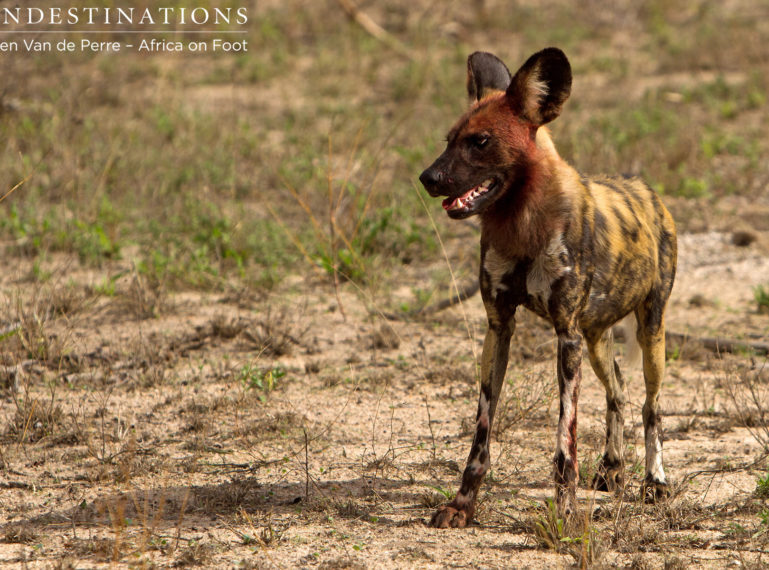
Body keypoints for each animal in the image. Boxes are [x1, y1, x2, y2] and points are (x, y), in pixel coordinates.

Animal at [416, 46, 676, 524]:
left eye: (480, 141)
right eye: (448, 140)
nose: (428, 178)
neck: (523, 227)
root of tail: (645, 187)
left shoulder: (565, 337)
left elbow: (564, 443)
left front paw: (568, 513)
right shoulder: (500, 328)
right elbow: (480, 437)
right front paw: (462, 505)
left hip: (651, 332)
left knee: (651, 405)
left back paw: (655, 482)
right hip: (595, 337)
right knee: (617, 389)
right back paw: (612, 468)